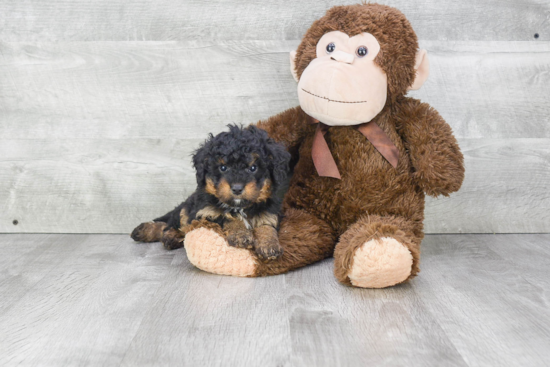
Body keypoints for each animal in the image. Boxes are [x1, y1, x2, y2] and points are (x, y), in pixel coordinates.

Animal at [131, 126, 292, 262]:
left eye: (253, 168)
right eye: (223, 167)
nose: (237, 188)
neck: (240, 207)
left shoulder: (270, 212)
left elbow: (266, 225)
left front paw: (269, 245)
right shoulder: (206, 213)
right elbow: (228, 217)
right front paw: (241, 234)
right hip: (187, 208)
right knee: (171, 223)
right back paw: (153, 232)